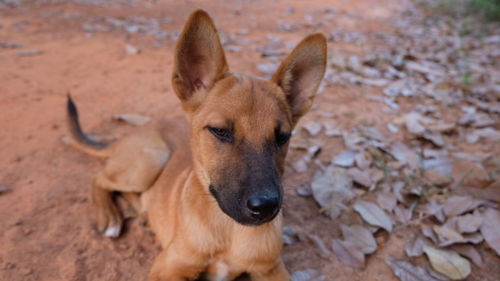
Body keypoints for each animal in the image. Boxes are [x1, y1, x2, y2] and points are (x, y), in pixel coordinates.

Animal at [67, 8, 328, 280]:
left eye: (282, 137)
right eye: (220, 131)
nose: (266, 207)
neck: (228, 229)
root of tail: (136, 131)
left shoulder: (271, 268)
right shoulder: (167, 268)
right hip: (150, 161)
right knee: (99, 178)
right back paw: (111, 218)